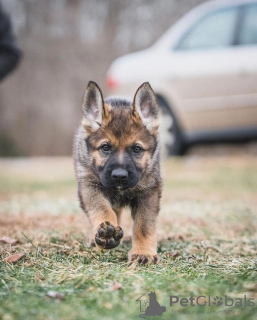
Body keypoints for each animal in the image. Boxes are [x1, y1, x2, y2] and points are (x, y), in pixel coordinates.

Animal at [74, 81, 161, 264]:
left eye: (137, 149)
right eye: (105, 147)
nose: (119, 176)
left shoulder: (149, 192)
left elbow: (144, 225)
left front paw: (143, 252)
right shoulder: (89, 185)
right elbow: (101, 208)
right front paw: (106, 233)